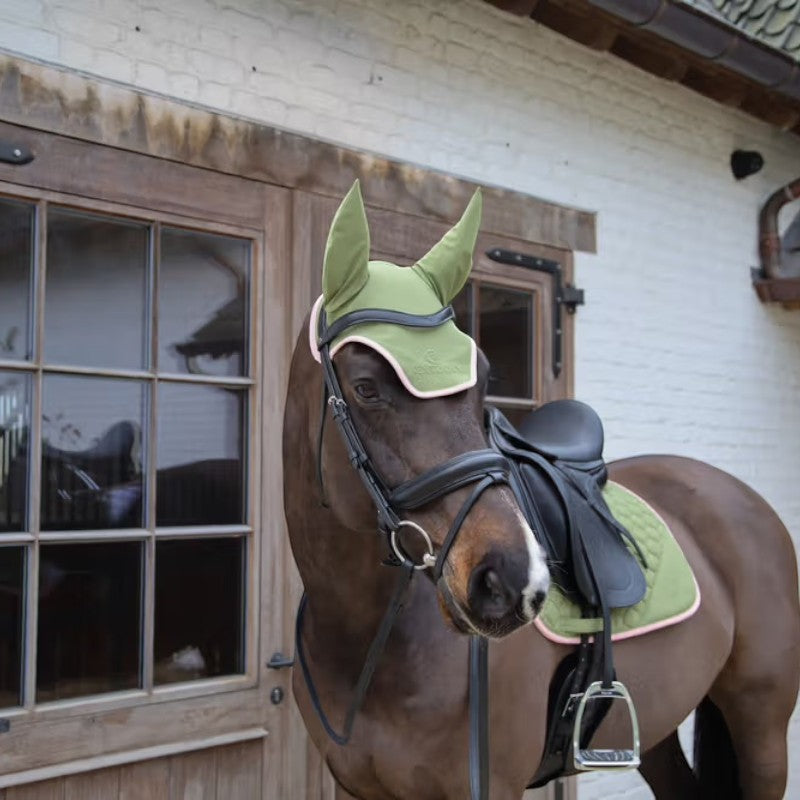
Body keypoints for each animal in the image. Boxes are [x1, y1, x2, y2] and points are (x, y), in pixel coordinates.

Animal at [282, 182, 800, 800]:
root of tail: (744, 498)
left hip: (761, 723)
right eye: (365, 387)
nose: (512, 581)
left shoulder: (492, 785)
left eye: (484, 381)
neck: (364, 638)